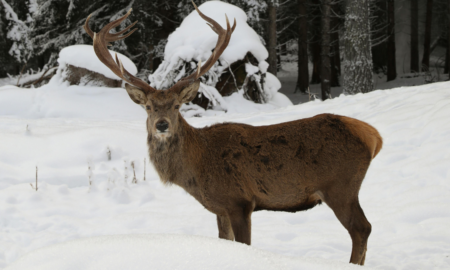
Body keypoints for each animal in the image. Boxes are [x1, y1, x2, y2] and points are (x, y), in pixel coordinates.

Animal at [83, 2, 380, 264]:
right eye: (147, 107)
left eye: (177, 106)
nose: (162, 124)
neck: (198, 166)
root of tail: (374, 136)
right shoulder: (220, 208)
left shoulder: (240, 201)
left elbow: (245, 244)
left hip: (340, 185)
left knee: (362, 228)